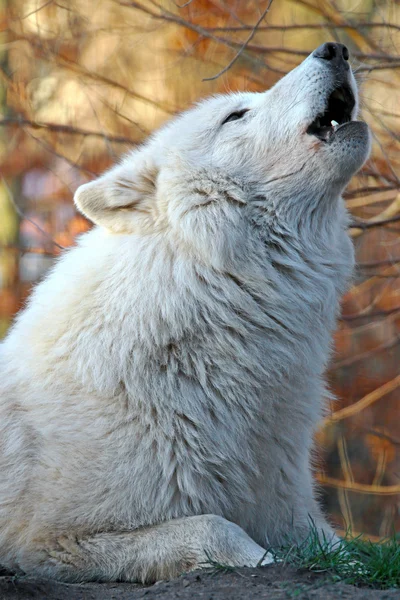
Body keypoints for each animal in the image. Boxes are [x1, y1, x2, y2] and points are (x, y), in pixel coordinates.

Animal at [0, 44, 368, 584]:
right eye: (236, 115)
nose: (334, 49)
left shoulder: (289, 508)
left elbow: (346, 553)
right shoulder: (54, 544)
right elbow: (213, 527)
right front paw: (264, 561)